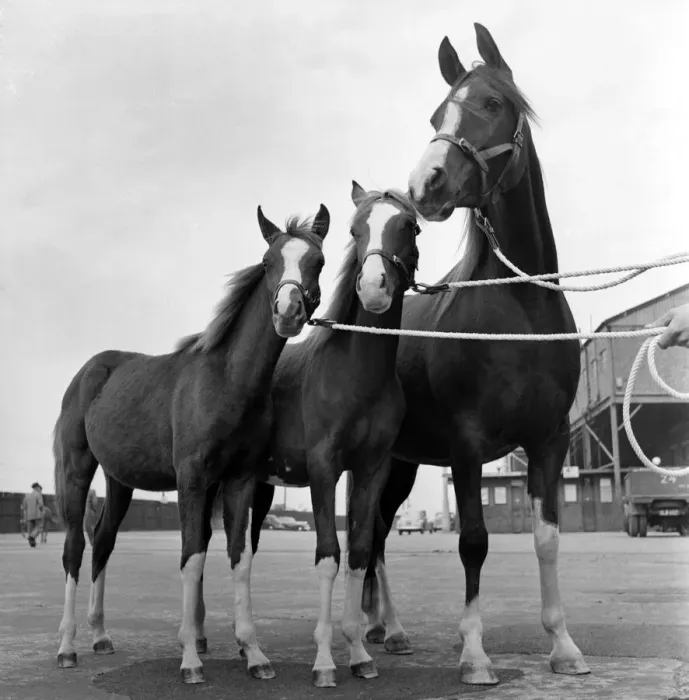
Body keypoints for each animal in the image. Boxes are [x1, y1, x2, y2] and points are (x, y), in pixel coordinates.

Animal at [52, 204, 330, 685]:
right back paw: (68, 646)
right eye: (267, 262)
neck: (227, 381)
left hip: (119, 480)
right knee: (74, 548)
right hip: (77, 470)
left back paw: (101, 635)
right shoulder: (193, 479)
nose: (289, 310)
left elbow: (240, 558)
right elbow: (192, 557)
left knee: (103, 541)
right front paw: (190, 659)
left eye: (318, 261)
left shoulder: (240, 481)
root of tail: (90, 371)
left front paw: (254, 654)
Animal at [241, 182, 421, 688]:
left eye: (410, 225)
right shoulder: (323, 467)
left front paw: (359, 651)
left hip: (262, 487)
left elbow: (360, 551)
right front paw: (324, 661)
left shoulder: (372, 470)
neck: (355, 373)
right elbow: (328, 554)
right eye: (355, 229)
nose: (375, 287)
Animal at [360, 23, 590, 686]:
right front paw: (474, 654)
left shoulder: (549, 440)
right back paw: (383, 628)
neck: (519, 310)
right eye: (438, 114)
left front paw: (563, 645)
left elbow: (546, 539)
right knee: (368, 533)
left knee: (377, 531)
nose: (425, 186)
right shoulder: (466, 445)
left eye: (492, 103)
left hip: (400, 464)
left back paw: (387, 630)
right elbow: (474, 542)